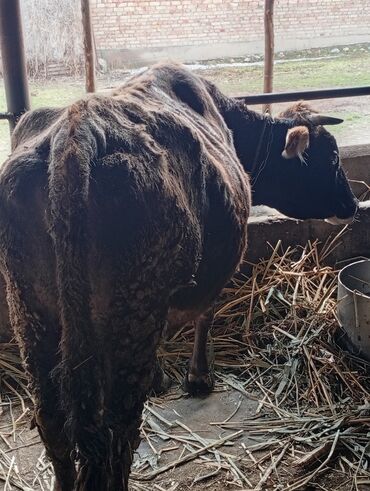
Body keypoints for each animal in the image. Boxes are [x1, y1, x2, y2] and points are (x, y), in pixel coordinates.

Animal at [0, 63, 358, 490]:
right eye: (332, 157)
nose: (353, 204)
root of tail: (78, 130)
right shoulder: (219, 263)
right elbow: (207, 312)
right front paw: (199, 377)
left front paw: (161, 376)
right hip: (133, 306)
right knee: (117, 432)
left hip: (31, 309)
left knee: (53, 422)